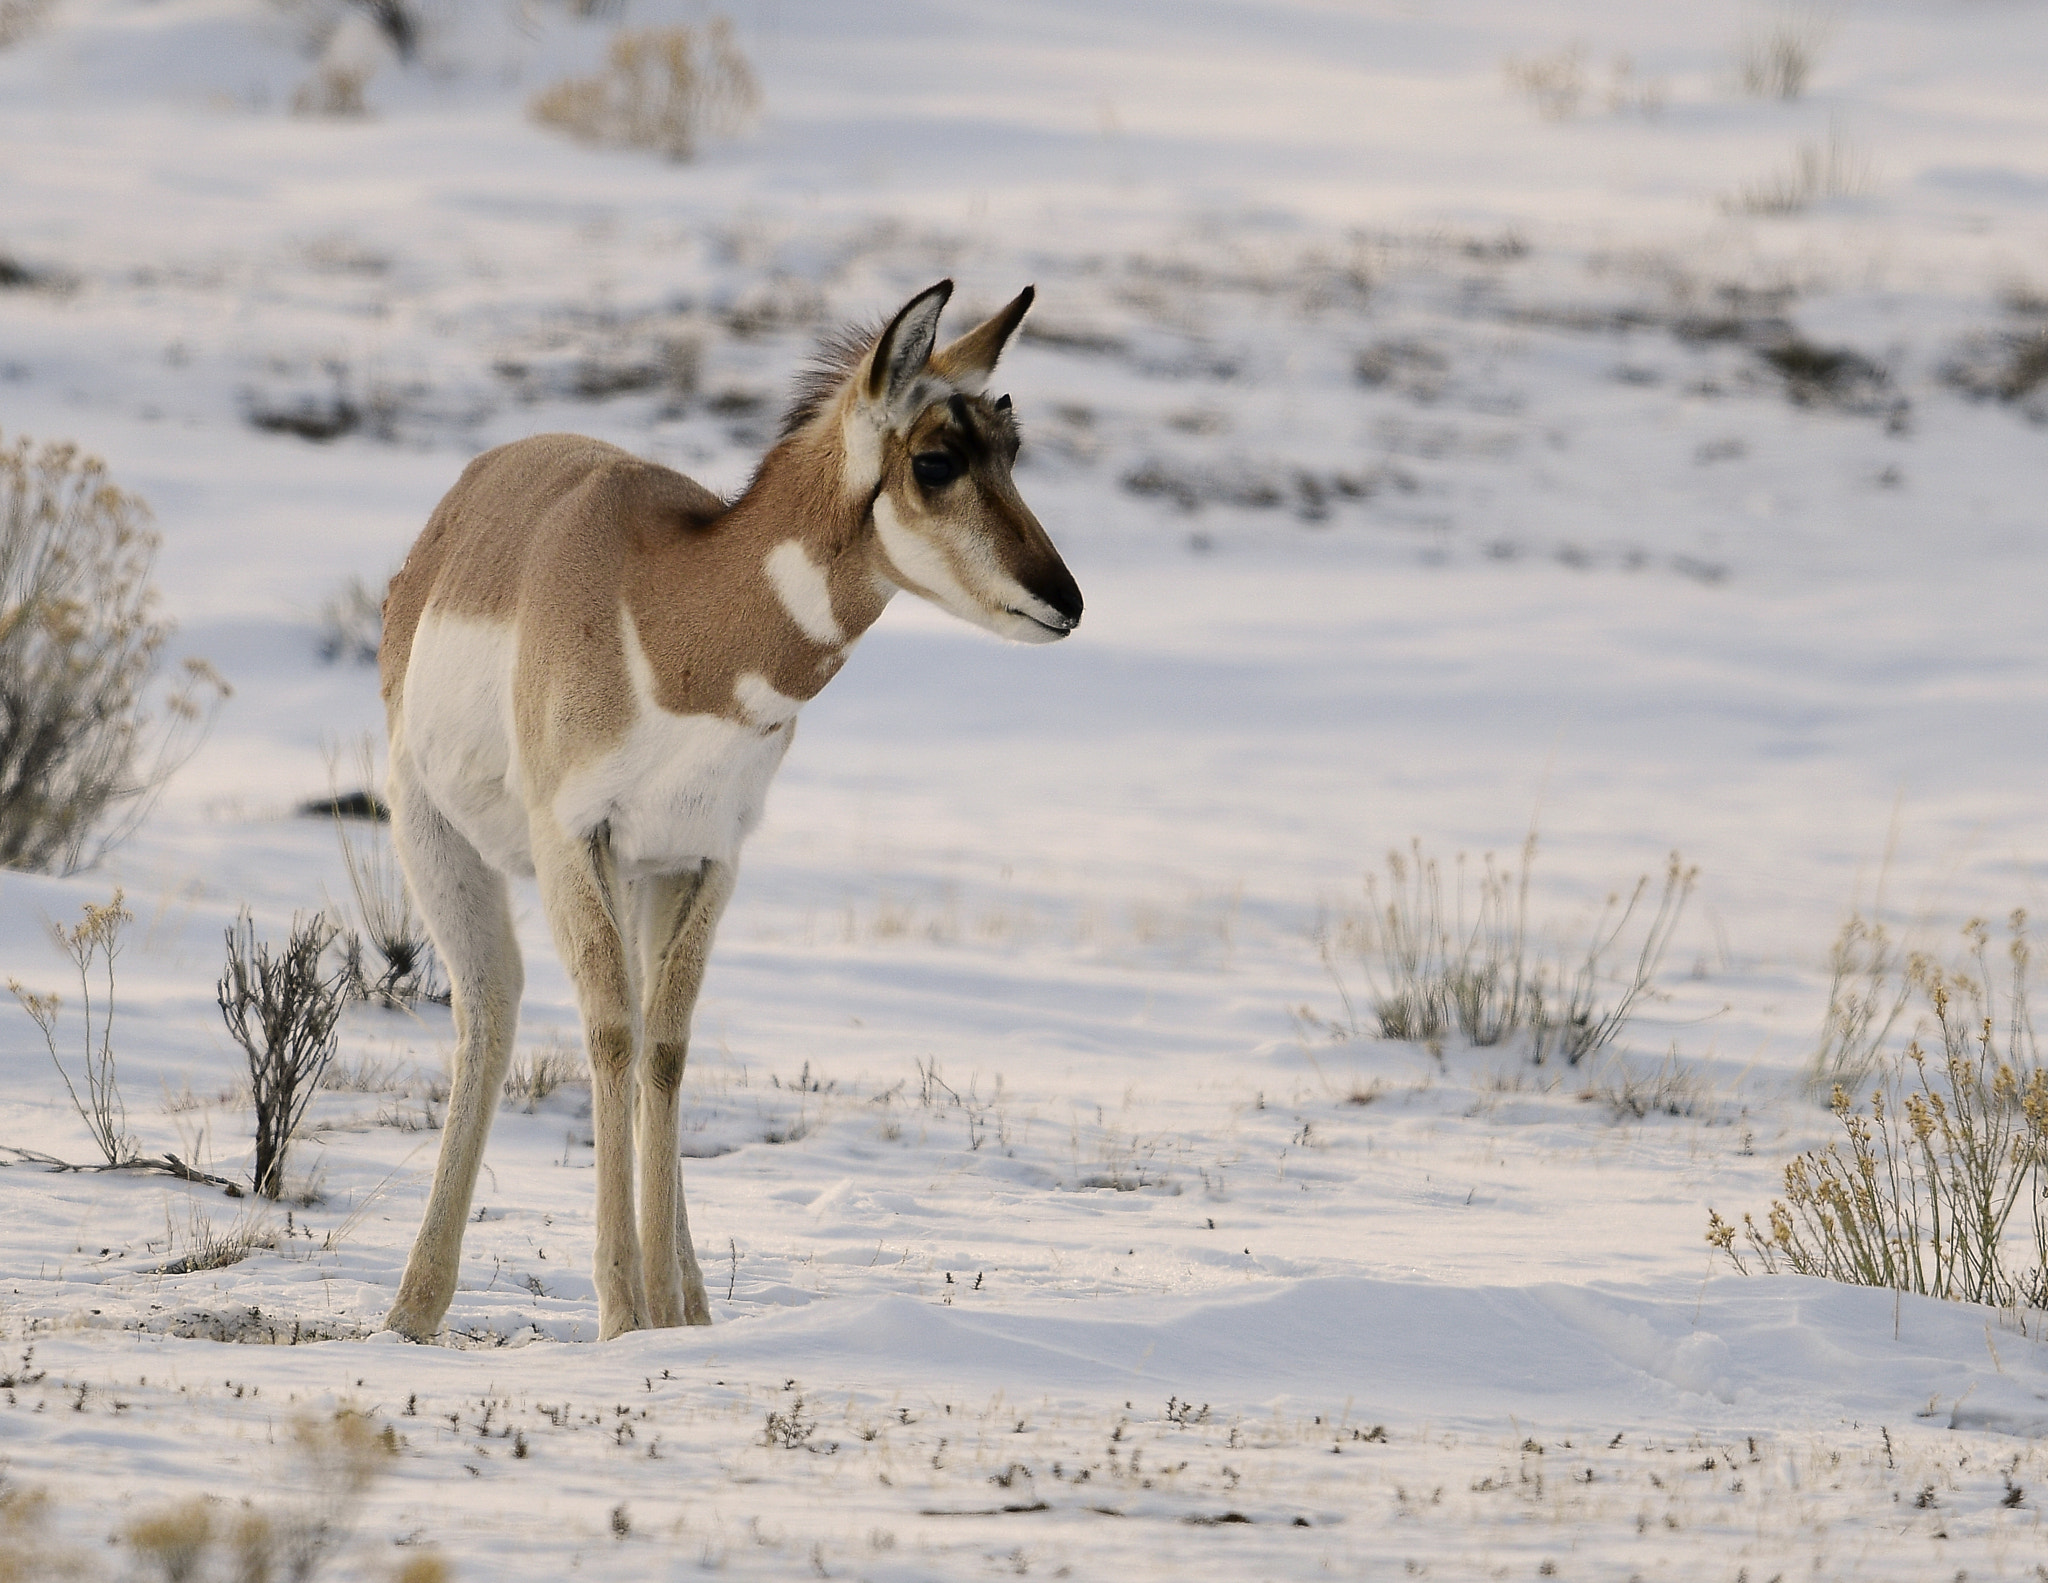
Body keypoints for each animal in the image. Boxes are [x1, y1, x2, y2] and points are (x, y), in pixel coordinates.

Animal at [385, 284, 1089, 1335]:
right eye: (935, 461)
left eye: (1011, 444)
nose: (1066, 600)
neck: (667, 620)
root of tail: (460, 505)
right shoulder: (571, 840)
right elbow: (613, 1034)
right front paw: (624, 1313)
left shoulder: (709, 855)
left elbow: (666, 1046)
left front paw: (673, 1315)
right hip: (437, 838)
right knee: (494, 1007)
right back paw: (413, 1309)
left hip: (643, 875)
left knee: (638, 1025)